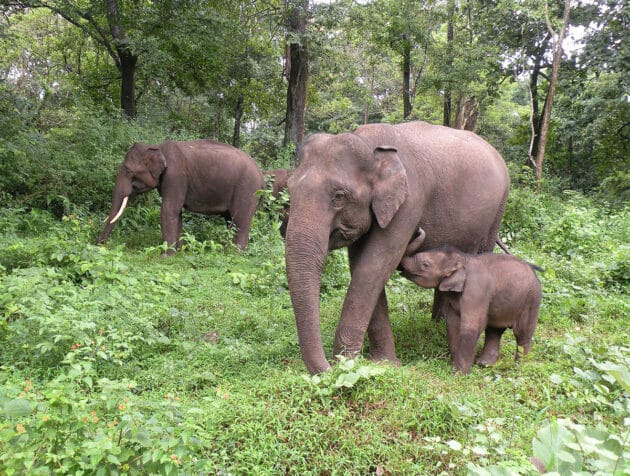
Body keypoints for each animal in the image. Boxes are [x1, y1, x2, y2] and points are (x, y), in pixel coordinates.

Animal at [98, 140, 265, 252]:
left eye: (127, 170)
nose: (99, 244)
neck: (157, 146)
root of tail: (262, 177)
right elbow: (176, 212)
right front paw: (178, 251)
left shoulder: (176, 175)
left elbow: (168, 209)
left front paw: (165, 256)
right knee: (230, 220)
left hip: (247, 189)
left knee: (240, 220)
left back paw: (234, 253)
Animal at [284, 121, 510, 374]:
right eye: (289, 190)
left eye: (339, 197)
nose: (328, 369)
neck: (369, 144)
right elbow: (362, 265)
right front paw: (381, 362)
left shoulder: (409, 202)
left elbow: (374, 266)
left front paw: (348, 363)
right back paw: (438, 322)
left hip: (497, 209)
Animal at [401, 229, 543, 374]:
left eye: (425, 265)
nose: (419, 230)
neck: (464, 259)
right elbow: (452, 324)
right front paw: (453, 367)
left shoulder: (476, 291)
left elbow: (471, 326)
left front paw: (460, 374)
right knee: (494, 330)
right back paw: (485, 364)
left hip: (532, 300)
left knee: (522, 332)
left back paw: (518, 367)